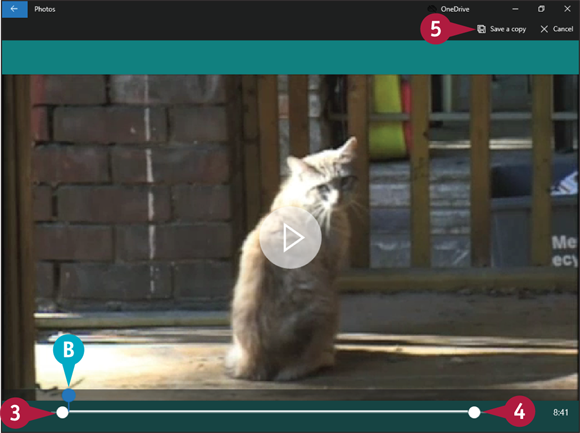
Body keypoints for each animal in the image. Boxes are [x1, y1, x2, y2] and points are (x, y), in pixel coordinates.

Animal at [225, 137, 358, 380]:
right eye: (323, 187)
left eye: (344, 181)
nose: (338, 199)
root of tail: (254, 361)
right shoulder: (331, 270)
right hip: (329, 304)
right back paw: (325, 358)